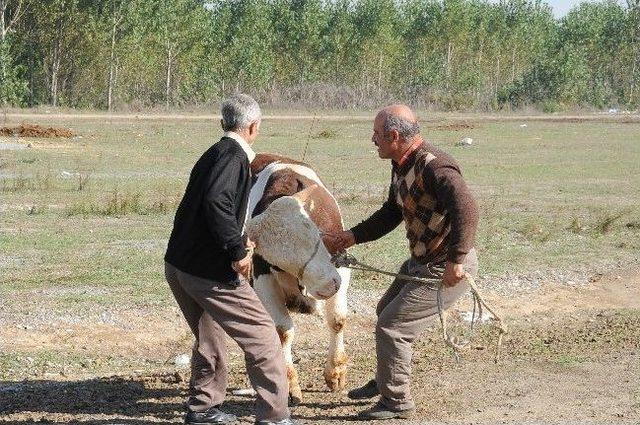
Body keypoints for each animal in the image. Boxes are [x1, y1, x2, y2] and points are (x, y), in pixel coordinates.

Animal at [245, 153, 352, 404]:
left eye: (315, 234)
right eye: (275, 257)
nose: (329, 285)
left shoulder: (341, 267)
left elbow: (337, 320)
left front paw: (335, 373)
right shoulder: (263, 279)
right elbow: (283, 331)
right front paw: (290, 385)